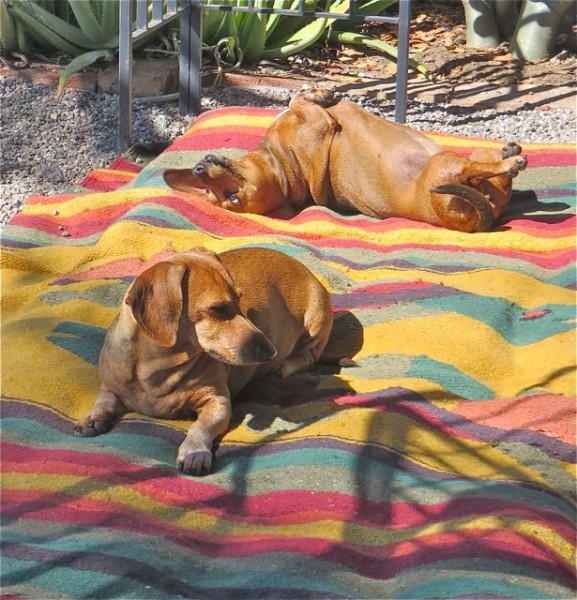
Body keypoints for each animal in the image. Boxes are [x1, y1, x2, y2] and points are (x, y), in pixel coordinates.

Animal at [75, 246, 332, 476]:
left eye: (240, 300)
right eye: (218, 308)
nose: (271, 352)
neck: (156, 370)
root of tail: (306, 270)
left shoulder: (218, 402)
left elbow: (200, 425)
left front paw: (194, 452)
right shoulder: (111, 386)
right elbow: (104, 399)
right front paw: (93, 417)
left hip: (315, 322)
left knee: (309, 356)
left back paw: (284, 367)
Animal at [162, 86, 528, 232]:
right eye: (233, 199)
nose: (199, 168)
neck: (284, 163)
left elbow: (295, 100)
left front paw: (314, 91)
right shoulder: (321, 125)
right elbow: (299, 103)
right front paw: (319, 94)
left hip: (472, 160)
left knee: (495, 181)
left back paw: (507, 156)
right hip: (446, 167)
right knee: (479, 170)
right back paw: (511, 163)